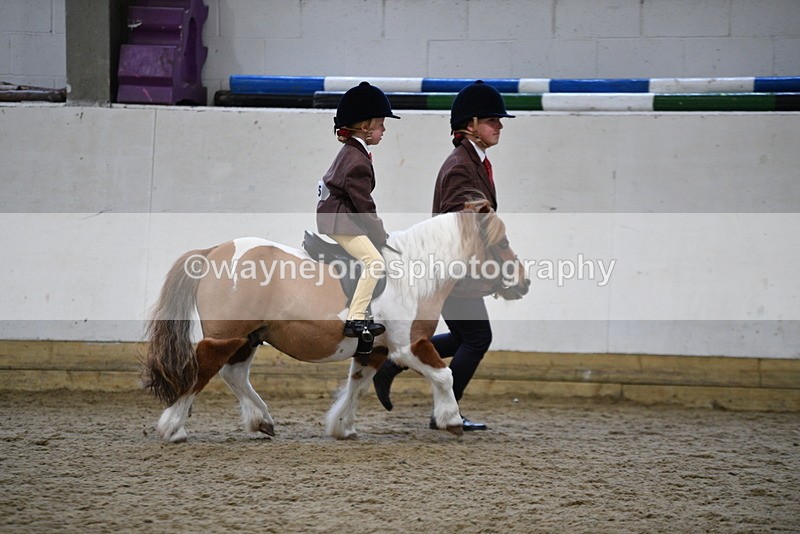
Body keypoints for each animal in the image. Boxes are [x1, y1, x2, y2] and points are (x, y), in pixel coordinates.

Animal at [143, 200, 530, 443]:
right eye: (503, 243)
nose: (524, 282)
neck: (414, 272)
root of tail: (212, 253)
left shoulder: (375, 350)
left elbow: (357, 386)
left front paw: (342, 427)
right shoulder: (408, 346)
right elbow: (445, 375)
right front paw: (451, 420)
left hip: (248, 337)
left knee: (234, 375)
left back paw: (261, 420)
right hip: (226, 337)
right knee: (200, 373)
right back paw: (173, 429)